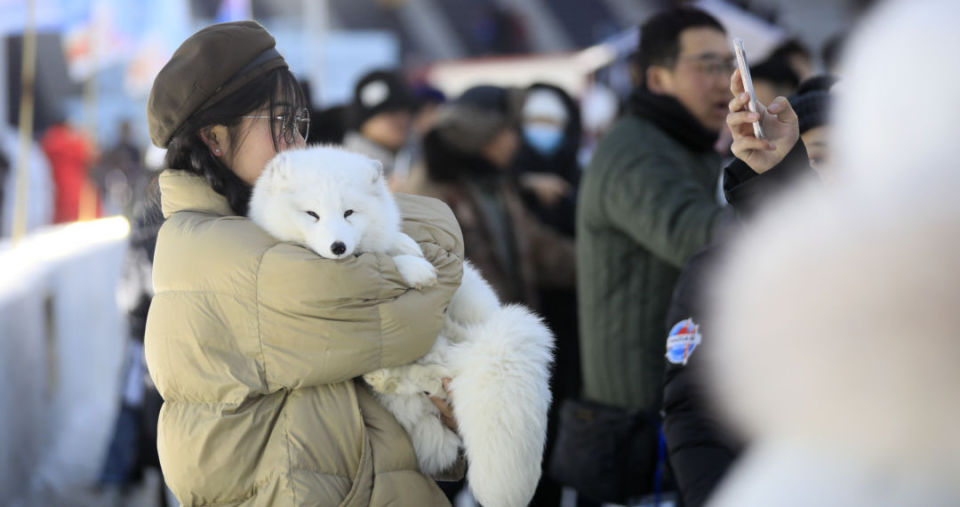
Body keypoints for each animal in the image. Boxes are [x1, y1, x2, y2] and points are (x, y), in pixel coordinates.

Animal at [248, 145, 556, 506]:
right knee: (437, 374)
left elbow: (390, 246)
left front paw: (406, 247)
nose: (338, 247)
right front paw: (412, 267)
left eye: (349, 212)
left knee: (444, 368)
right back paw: (387, 376)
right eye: (312, 214)